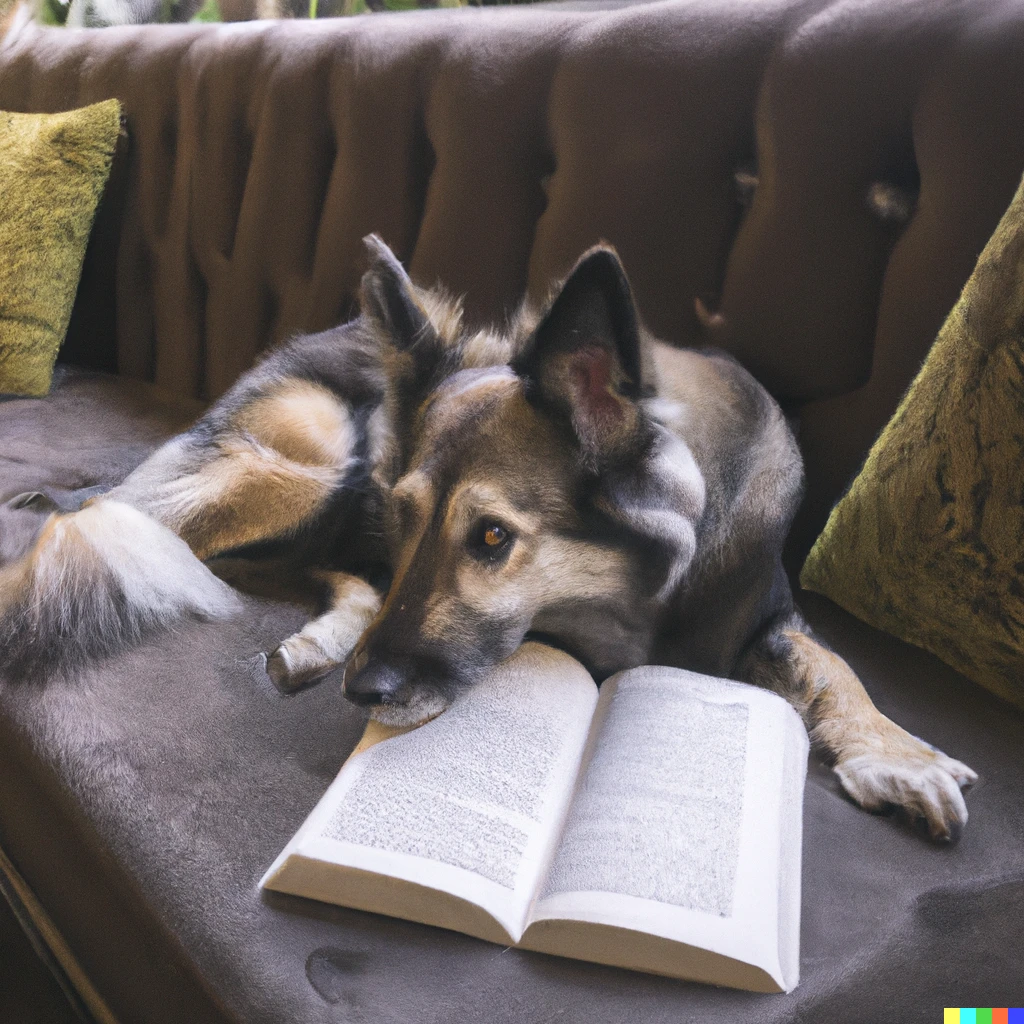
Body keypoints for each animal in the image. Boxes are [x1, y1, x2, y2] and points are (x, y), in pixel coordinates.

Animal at [0, 234, 974, 839]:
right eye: (407, 517)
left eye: (494, 538)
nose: (364, 692)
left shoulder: (768, 612)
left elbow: (832, 663)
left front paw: (897, 751)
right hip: (311, 464)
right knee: (168, 538)